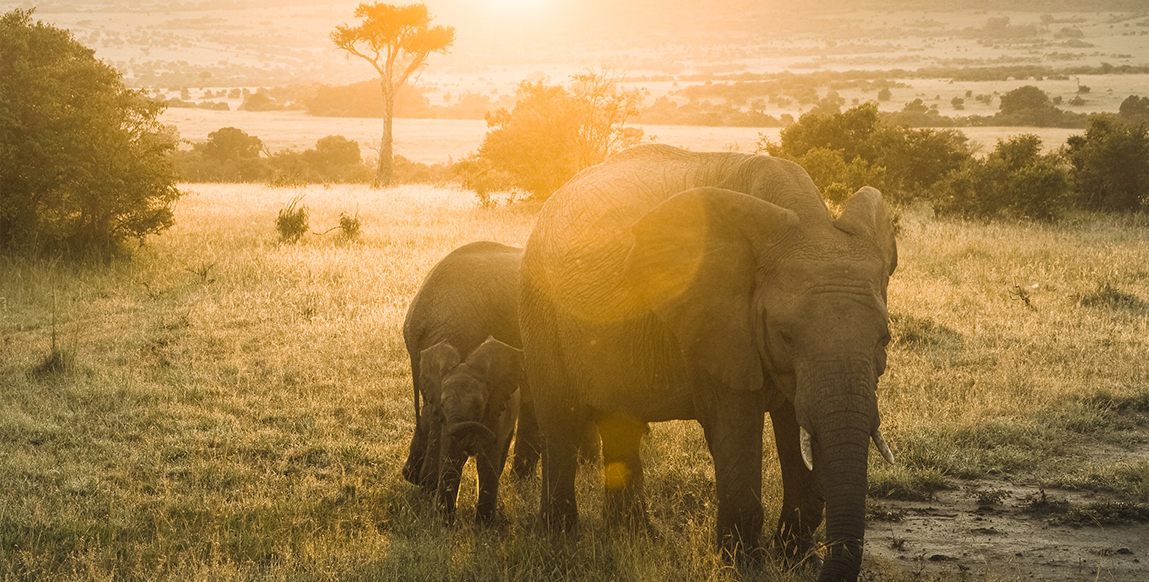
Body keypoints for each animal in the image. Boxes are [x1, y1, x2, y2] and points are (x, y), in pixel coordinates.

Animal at [420, 337, 523, 523]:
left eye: (477, 406)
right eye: (442, 404)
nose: (488, 434)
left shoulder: (496, 413)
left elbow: (486, 464)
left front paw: (484, 525)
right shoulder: (447, 424)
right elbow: (451, 459)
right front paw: (444, 522)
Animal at [521, 143, 896, 580]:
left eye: (884, 339)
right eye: (785, 336)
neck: (806, 218)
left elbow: (796, 430)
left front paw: (796, 562)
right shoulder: (715, 323)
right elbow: (737, 429)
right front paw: (746, 567)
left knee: (621, 421)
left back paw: (635, 537)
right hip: (540, 306)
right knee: (560, 420)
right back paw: (560, 538)